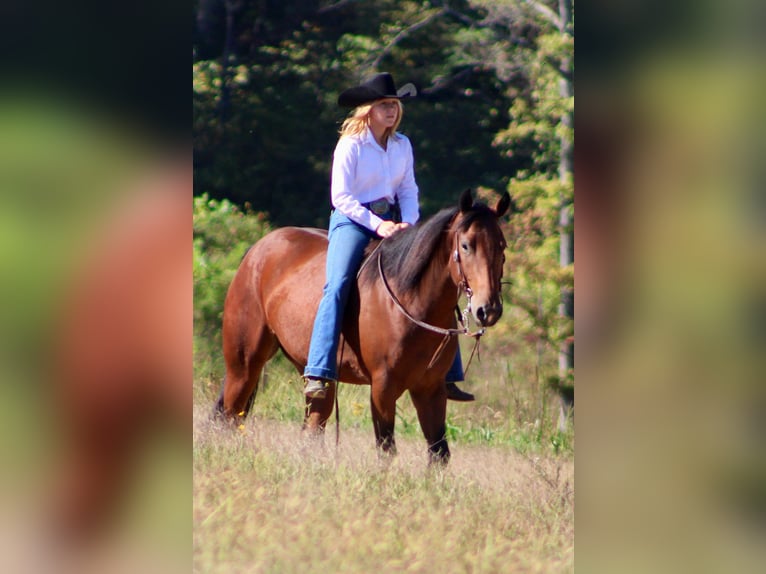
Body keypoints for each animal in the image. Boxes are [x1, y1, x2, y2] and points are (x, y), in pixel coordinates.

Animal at [216, 189, 510, 463]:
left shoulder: (431, 389)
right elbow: (386, 450)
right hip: (244, 366)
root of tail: (256, 251)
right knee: (230, 416)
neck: (409, 301)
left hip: (315, 376)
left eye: (502, 247)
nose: (488, 309)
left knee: (312, 428)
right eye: (466, 245)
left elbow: (439, 453)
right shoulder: (382, 388)